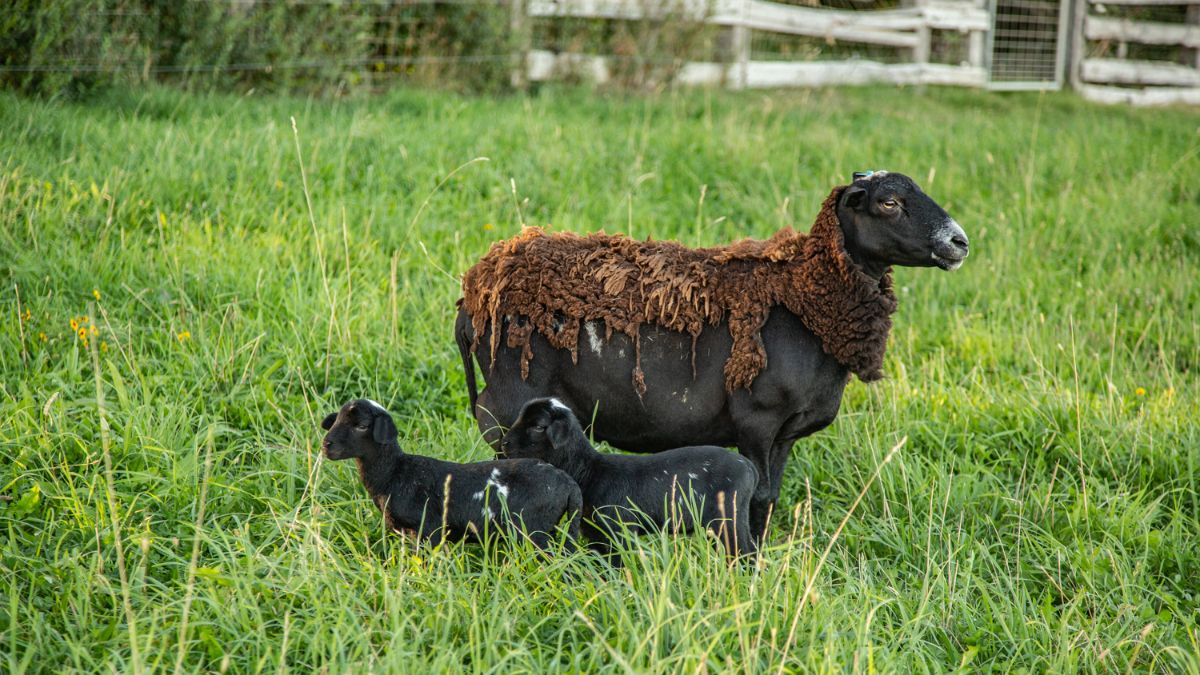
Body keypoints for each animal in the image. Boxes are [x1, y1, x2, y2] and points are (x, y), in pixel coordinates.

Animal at [320, 398, 582, 551]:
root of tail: (569, 484)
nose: (326, 445)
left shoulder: (430, 529)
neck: (395, 473)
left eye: (362, 425)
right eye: (336, 420)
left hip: (534, 530)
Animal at [456, 172, 968, 540]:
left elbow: (772, 496)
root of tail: (474, 292)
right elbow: (758, 495)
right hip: (506, 408)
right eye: (889, 202)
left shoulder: (785, 432)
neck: (805, 301)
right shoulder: (757, 420)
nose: (959, 242)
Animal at [500, 397, 760, 559]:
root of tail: (749, 467)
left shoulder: (618, 532)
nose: (504, 444)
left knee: (745, 553)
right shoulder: (597, 536)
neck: (589, 472)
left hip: (729, 517)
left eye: (538, 426)